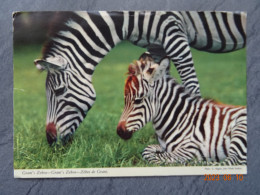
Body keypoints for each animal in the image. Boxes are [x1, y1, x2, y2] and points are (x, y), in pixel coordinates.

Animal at [33, 10, 247, 145]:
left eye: (59, 91)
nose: (50, 140)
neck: (126, 19)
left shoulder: (174, 35)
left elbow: (191, 87)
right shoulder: (156, 44)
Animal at [117, 52, 247, 165]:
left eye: (138, 100)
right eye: (124, 100)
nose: (119, 132)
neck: (178, 120)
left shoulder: (189, 148)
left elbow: (150, 154)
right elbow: (148, 149)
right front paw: (158, 148)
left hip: (240, 130)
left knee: (231, 160)